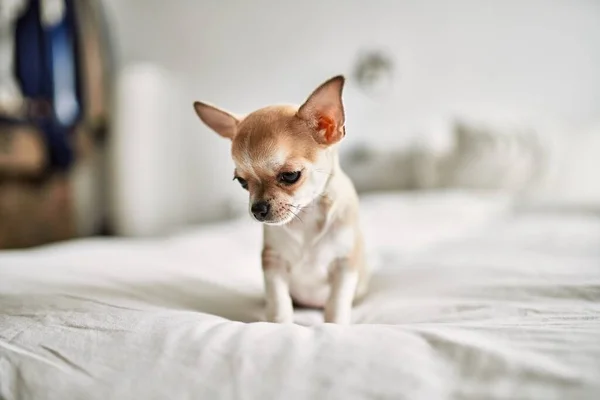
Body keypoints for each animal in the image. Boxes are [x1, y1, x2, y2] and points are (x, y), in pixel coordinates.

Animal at [195, 76, 368, 324]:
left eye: (290, 176)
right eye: (242, 182)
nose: (257, 209)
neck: (307, 214)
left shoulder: (344, 265)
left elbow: (336, 304)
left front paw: (335, 326)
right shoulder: (273, 262)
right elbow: (278, 301)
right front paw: (279, 324)